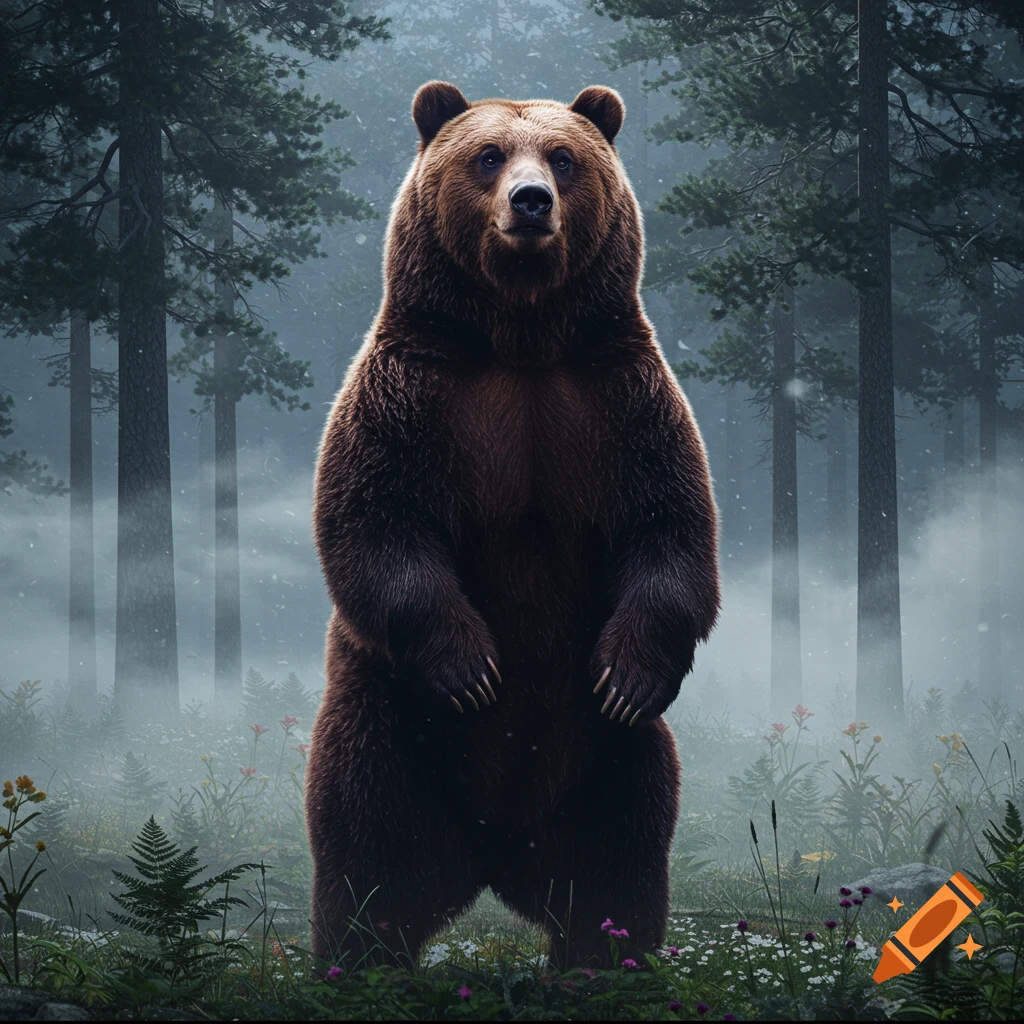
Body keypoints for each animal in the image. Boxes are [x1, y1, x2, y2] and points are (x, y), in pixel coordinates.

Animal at [306, 80, 721, 971]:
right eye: (488, 154)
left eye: (562, 158)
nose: (531, 202)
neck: (520, 339)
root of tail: (496, 855)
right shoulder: (413, 394)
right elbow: (377, 524)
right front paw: (472, 669)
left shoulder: (620, 402)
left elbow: (669, 531)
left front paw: (629, 676)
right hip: (388, 721)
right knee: (367, 847)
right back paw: (357, 962)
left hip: (605, 761)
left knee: (621, 856)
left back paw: (604, 962)